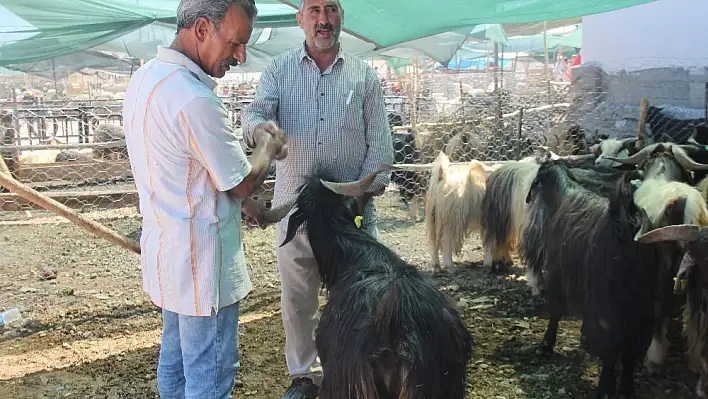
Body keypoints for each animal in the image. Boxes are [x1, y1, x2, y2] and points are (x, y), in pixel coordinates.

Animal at [520, 160, 660, 399]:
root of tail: (627, 220)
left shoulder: (557, 272)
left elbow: (556, 310)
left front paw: (545, 346)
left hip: (610, 299)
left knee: (612, 341)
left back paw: (605, 388)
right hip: (641, 300)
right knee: (632, 345)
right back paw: (626, 389)